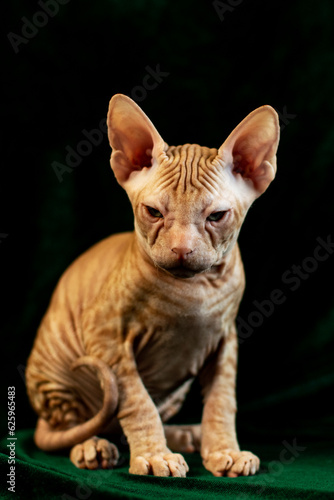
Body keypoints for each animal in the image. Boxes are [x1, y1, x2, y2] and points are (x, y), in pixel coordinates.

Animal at [26, 95, 280, 478]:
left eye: (216, 216)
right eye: (154, 212)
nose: (182, 250)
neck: (194, 290)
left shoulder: (226, 339)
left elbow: (222, 401)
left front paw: (224, 450)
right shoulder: (106, 336)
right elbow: (136, 401)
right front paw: (155, 456)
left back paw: (188, 435)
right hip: (55, 371)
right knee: (75, 424)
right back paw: (91, 445)